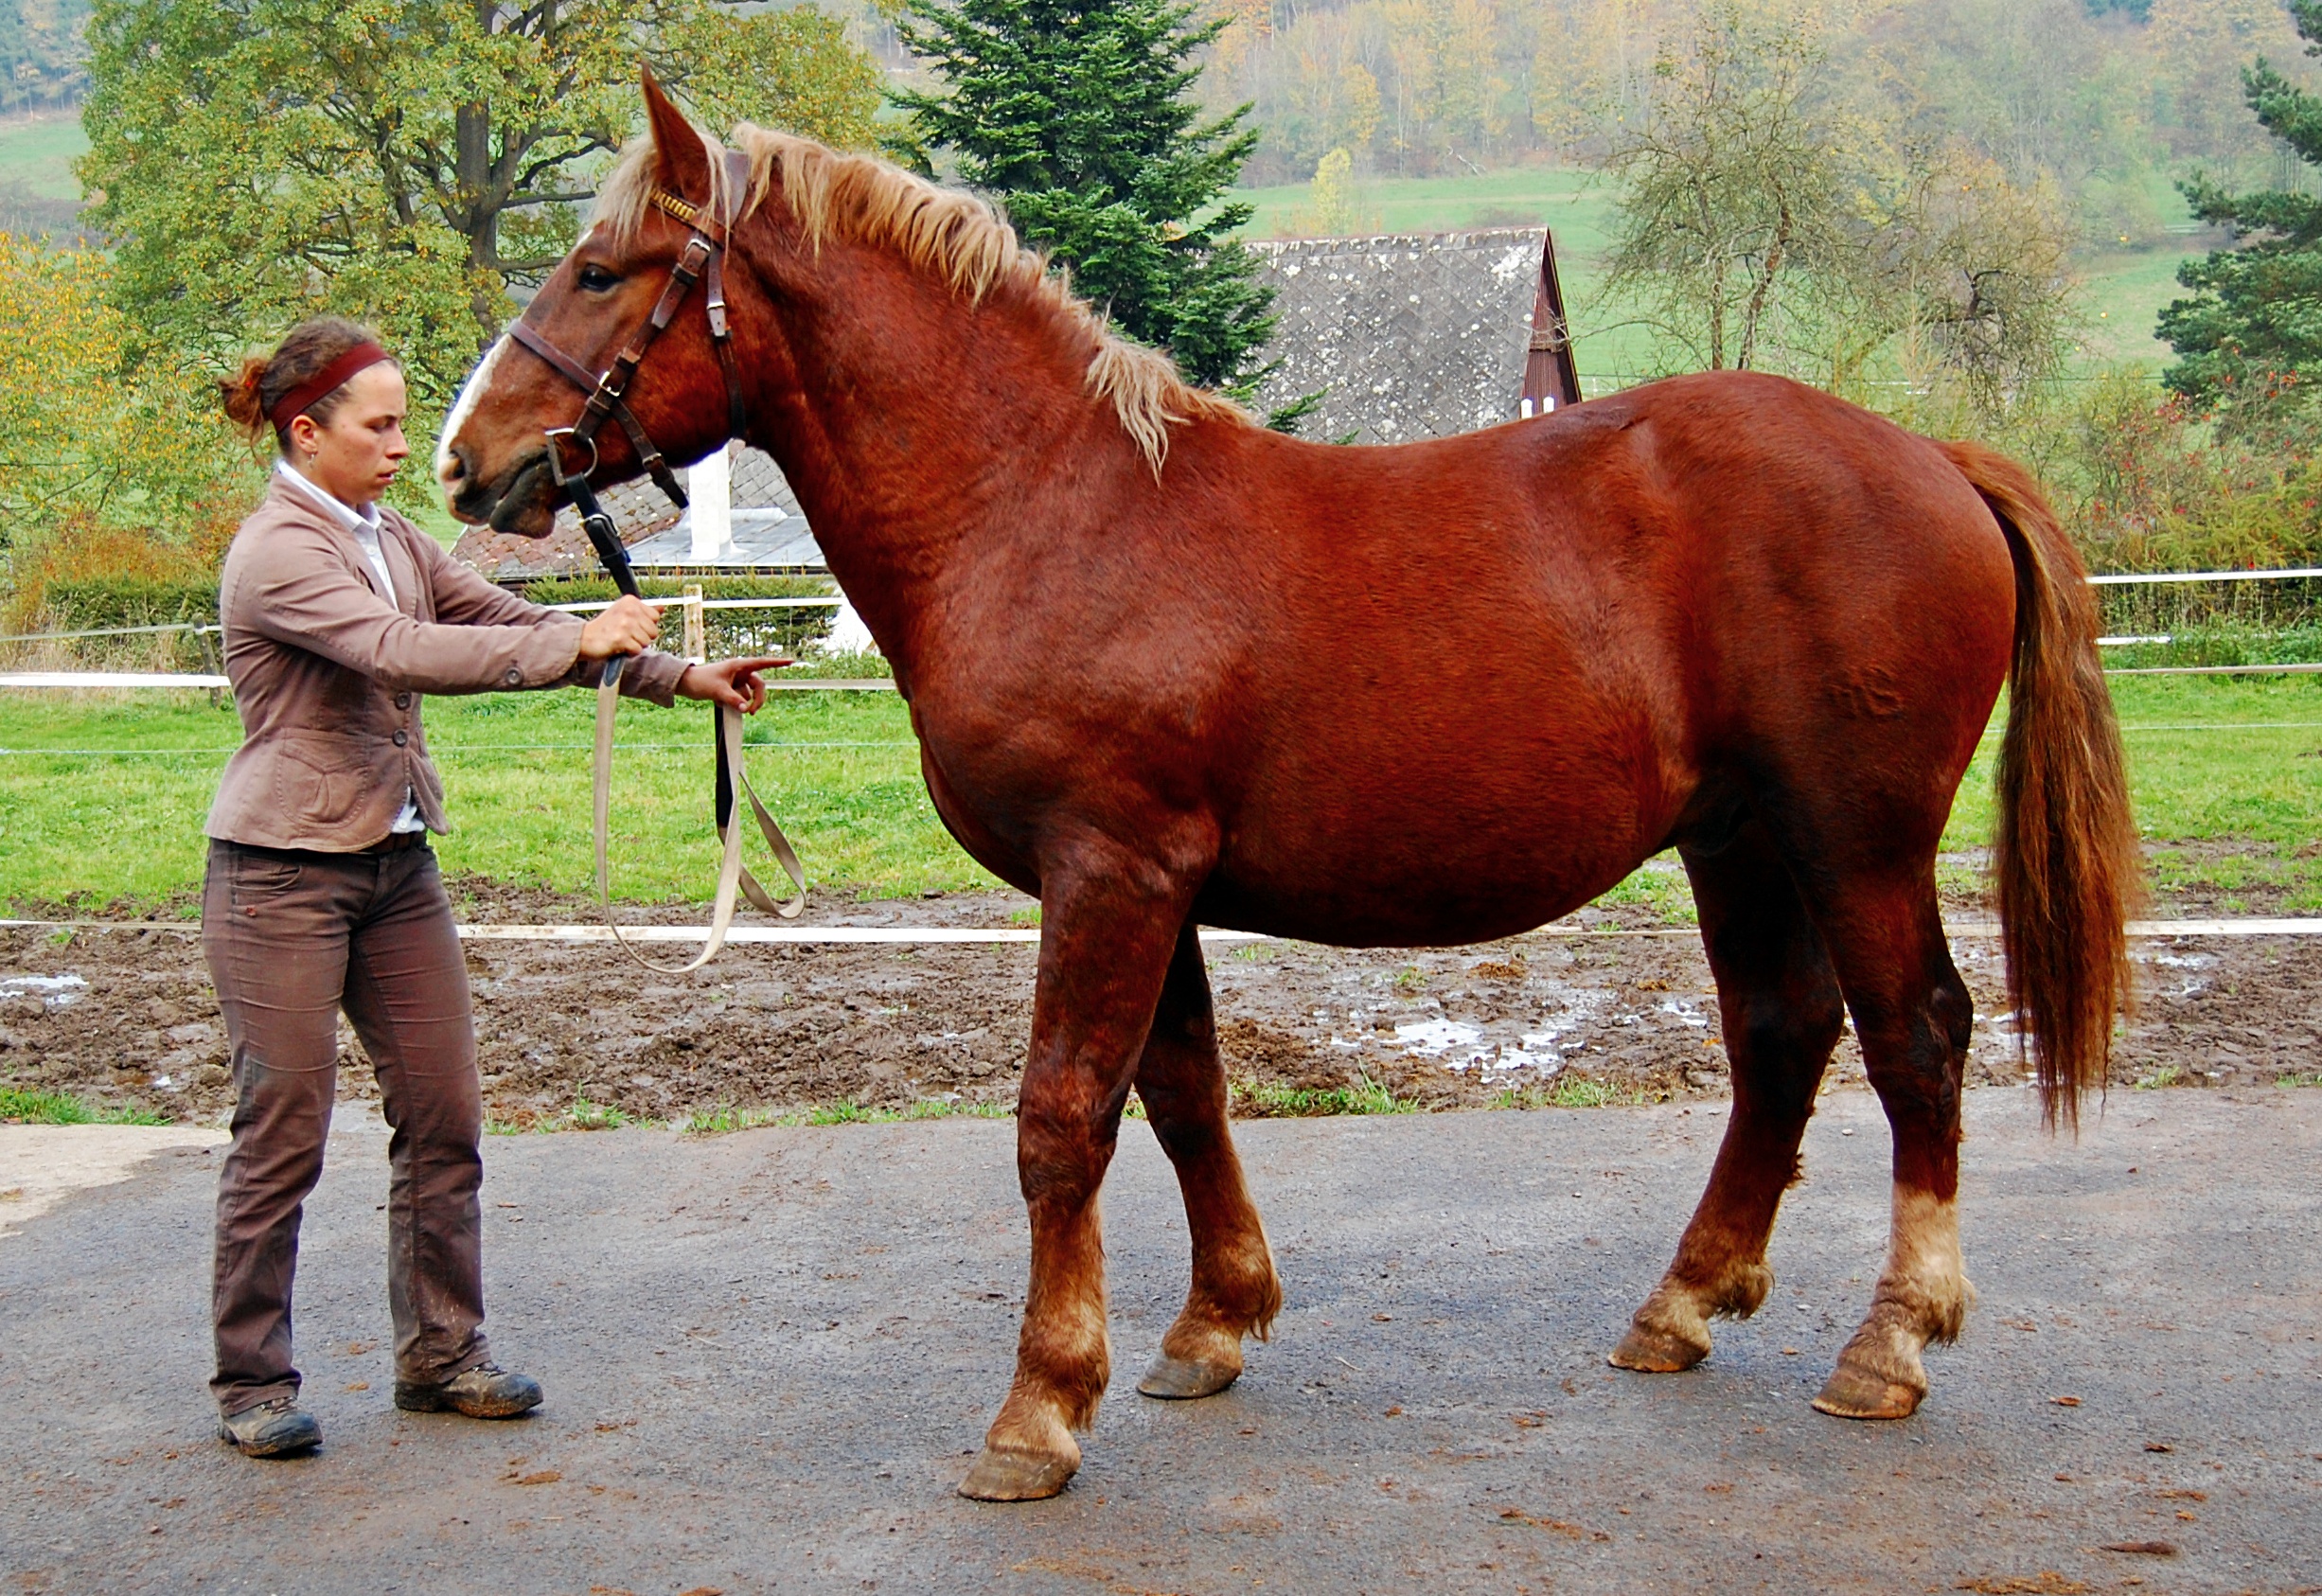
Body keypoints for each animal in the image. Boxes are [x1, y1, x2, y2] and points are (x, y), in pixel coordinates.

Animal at [436, 78, 2136, 1496]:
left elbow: (1062, 1118)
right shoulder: (1151, 880)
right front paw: (1210, 1326)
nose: (465, 460)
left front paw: (1038, 1408)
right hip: (1737, 839)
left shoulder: (1109, 867)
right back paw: (1679, 1305)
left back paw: (1889, 1342)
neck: (1047, 512)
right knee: (1779, 1040)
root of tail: (1927, 454)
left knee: (1915, 1043)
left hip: (1856, 840)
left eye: (602, 270)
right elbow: (1182, 1093)